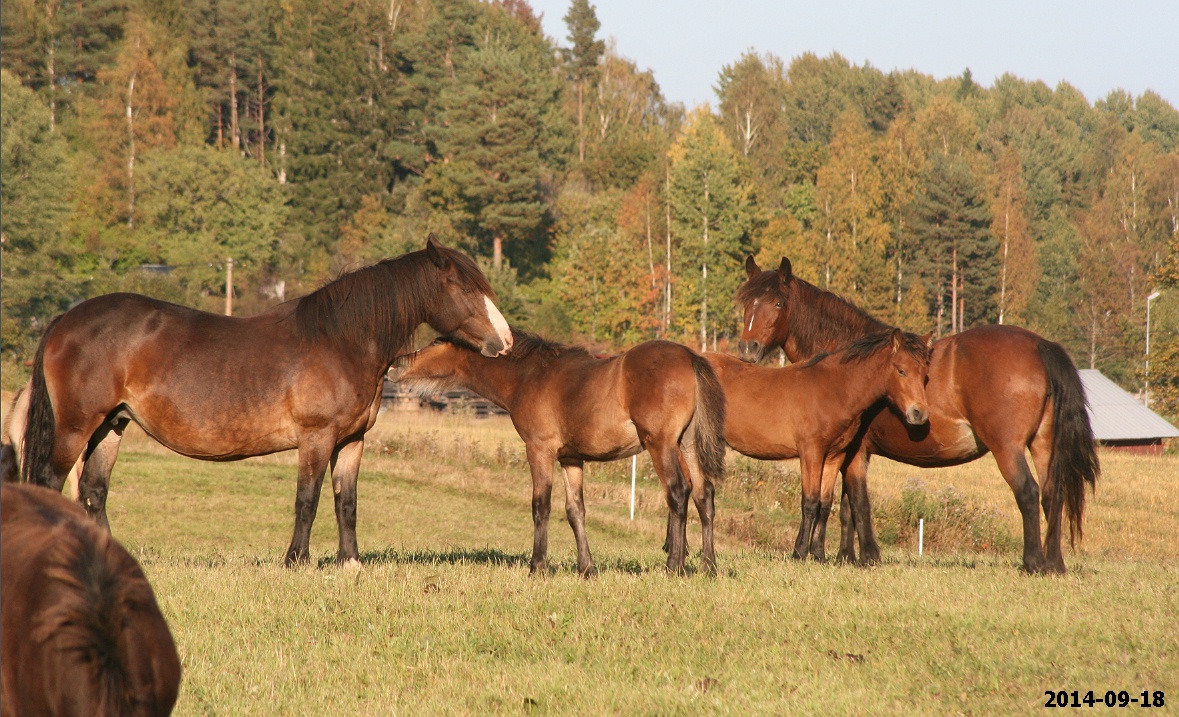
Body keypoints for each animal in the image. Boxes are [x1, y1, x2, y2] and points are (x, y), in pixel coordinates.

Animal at [396, 332, 726, 577]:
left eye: (436, 342)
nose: (397, 363)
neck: (530, 376)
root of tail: (690, 357)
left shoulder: (539, 450)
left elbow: (541, 505)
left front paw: (537, 567)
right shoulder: (571, 459)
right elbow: (575, 511)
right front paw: (586, 569)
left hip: (662, 444)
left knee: (678, 492)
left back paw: (674, 566)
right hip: (687, 445)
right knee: (703, 495)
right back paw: (709, 567)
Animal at [707, 330, 929, 561]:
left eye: (925, 374)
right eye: (901, 370)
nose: (919, 414)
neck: (833, 390)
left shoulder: (834, 455)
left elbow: (825, 503)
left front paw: (819, 554)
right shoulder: (811, 452)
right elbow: (810, 502)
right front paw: (799, 552)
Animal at [735, 254, 1094, 573]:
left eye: (778, 304)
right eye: (746, 303)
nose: (747, 349)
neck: (849, 361)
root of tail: (1041, 346)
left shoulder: (855, 452)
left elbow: (858, 502)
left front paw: (867, 557)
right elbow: (846, 507)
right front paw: (845, 557)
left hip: (1007, 448)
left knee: (1028, 493)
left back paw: (1032, 563)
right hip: (1043, 445)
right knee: (1052, 496)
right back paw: (1054, 564)